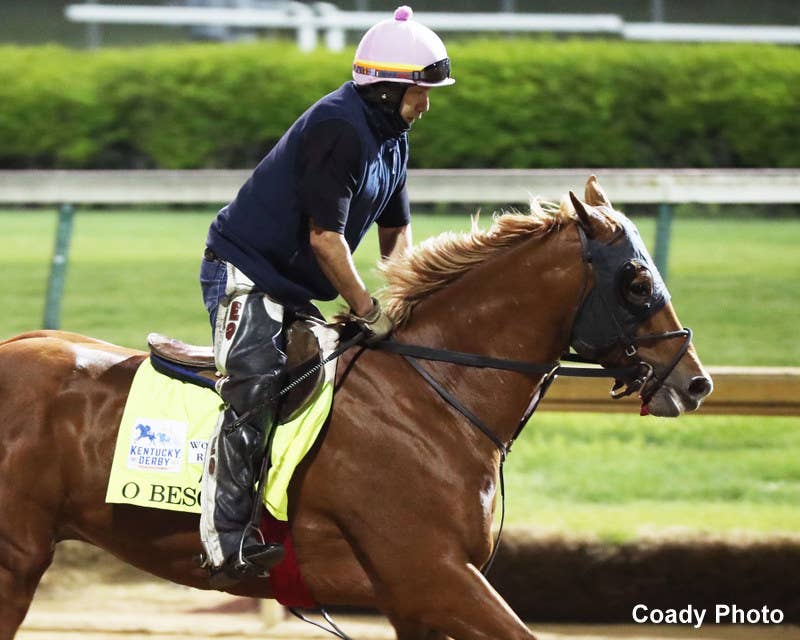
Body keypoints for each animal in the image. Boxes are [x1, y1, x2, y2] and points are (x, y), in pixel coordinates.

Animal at [0, 177, 712, 640]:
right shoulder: (435, 576)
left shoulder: (415, 600)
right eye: (638, 282)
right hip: (16, 558)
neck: (434, 395)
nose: (696, 382)